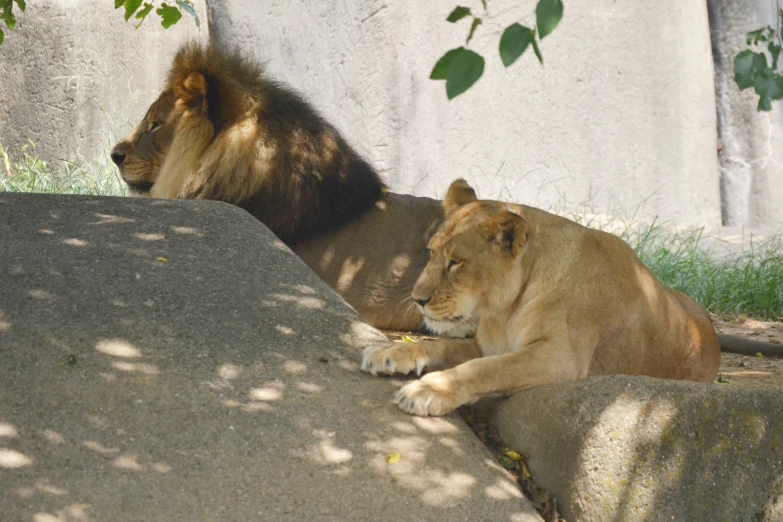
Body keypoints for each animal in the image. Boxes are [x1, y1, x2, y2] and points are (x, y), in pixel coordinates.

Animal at [362, 179, 724, 414]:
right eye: (431, 252)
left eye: (456, 261)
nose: (417, 299)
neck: (504, 310)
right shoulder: (489, 344)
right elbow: (441, 346)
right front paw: (388, 352)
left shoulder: (559, 356)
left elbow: (486, 369)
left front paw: (428, 390)